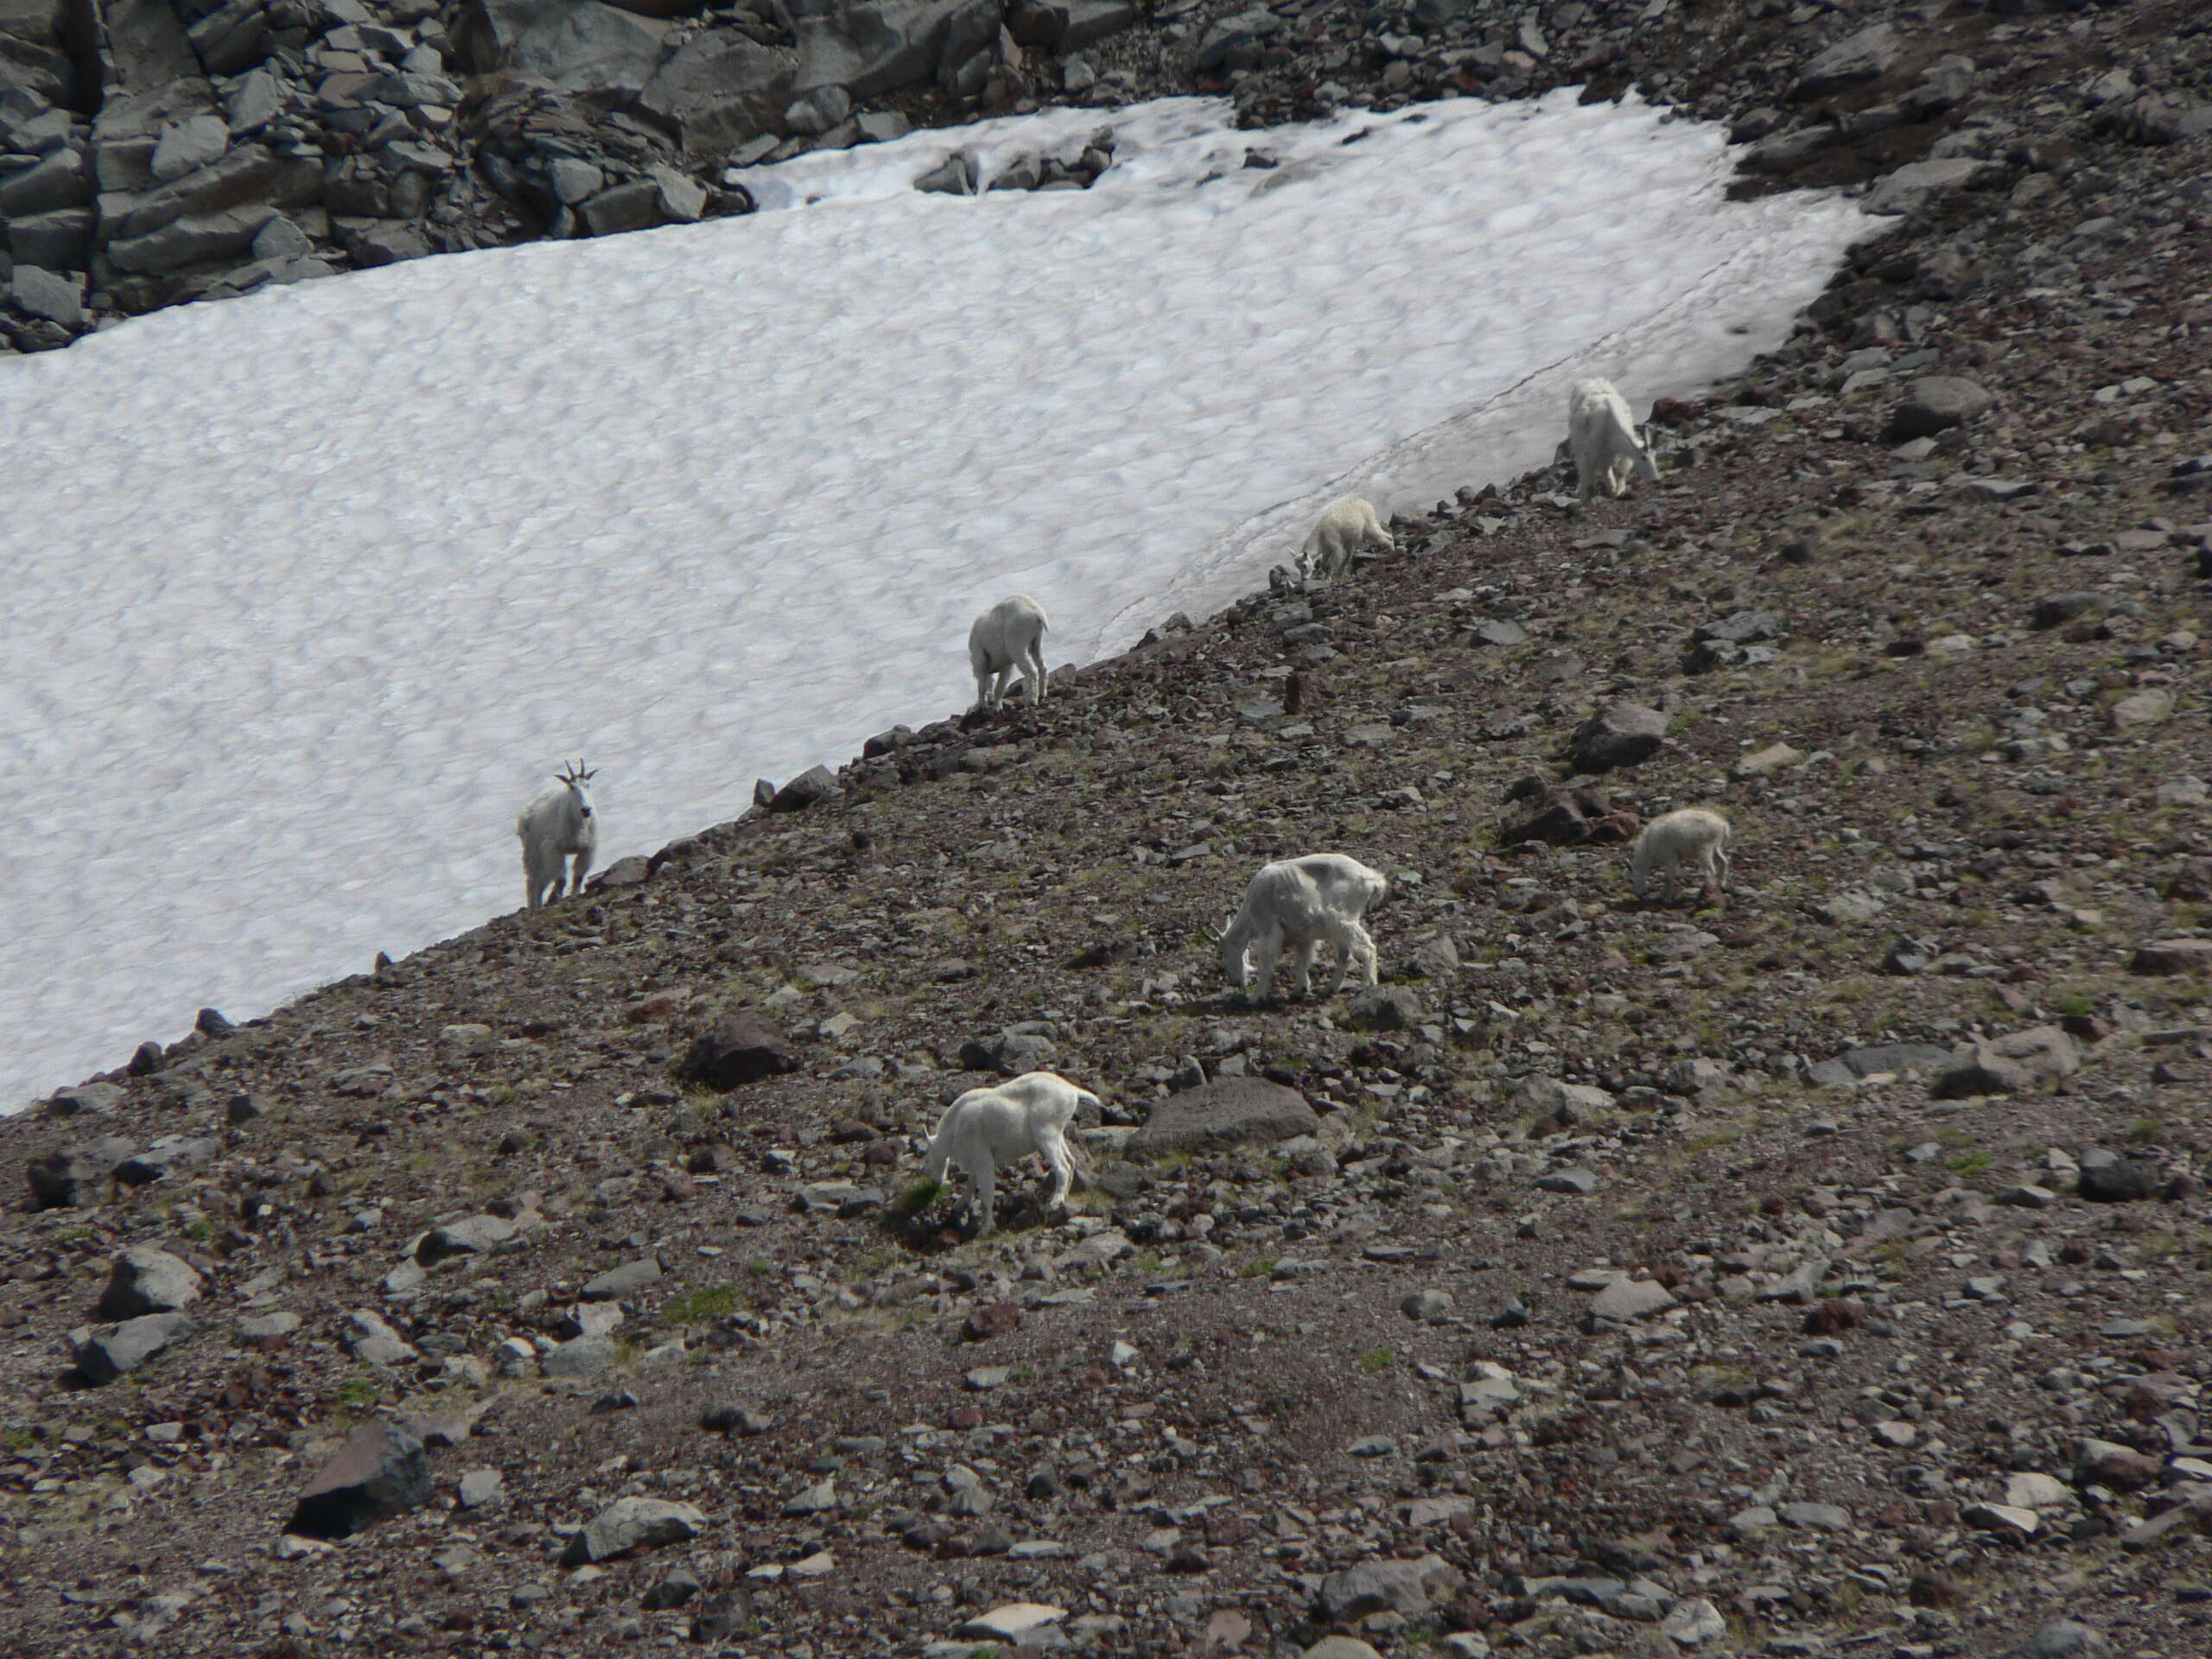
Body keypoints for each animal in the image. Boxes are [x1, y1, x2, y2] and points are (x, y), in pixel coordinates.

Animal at [511, 765, 597, 915]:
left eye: (588, 785)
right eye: (572, 787)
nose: (586, 810)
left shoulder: (587, 849)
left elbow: (578, 876)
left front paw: (574, 895)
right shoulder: (553, 849)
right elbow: (561, 880)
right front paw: (557, 899)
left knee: (540, 881)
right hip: (533, 853)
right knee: (533, 881)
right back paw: (534, 908)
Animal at [915, 1071, 1096, 1238]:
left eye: (927, 1158)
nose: (934, 1181)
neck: (953, 1128)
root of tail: (1071, 1091)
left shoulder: (983, 1157)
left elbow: (986, 1195)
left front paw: (984, 1230)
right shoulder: (977, 1158)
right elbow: (971, 1183)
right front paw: (959, 1206)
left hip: (1046, 1133)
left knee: (1062, 1166)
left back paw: (1054, 1203)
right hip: (1058, 1134)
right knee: (1070, 1161)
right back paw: (1064, 1196)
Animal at [964, 597, 1048, 716]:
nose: (990, 701)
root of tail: (1036, 612)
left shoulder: (980, 658)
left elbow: (982, 685)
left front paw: (982, 707)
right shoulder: (1006, 665)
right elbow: (1000, 687)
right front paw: (997, 708)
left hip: (1017, 645)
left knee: (1031, 672)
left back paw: (1032, 700)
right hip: (1036, 641)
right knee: (1042, 666)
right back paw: (1042, 694)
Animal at [1221, 858, 1389, 1000]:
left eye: (1225, 951)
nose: (1235, 982)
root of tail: (1373, 880)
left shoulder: (1269, 928)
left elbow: (1266, 962)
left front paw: (1256, 997)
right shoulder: (1304, 937)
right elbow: (1302, 961)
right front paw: (1299, 990)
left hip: (1341, 918)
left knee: (1367, 947)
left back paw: (1367, 984)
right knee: (1345, 954)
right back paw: (1328, 989)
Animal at [1574, 380, 1663, 504]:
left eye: (1655, 456)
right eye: (1643, 457)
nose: (1656, 480)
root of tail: (1585, 381)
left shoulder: (1621, 453)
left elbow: (1621, 472)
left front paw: (1619, 491)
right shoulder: (1591, 452)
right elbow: (1588, 474)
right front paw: (1587, 500)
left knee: (1606, 470)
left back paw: (1611, 489)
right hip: (1580, 444)